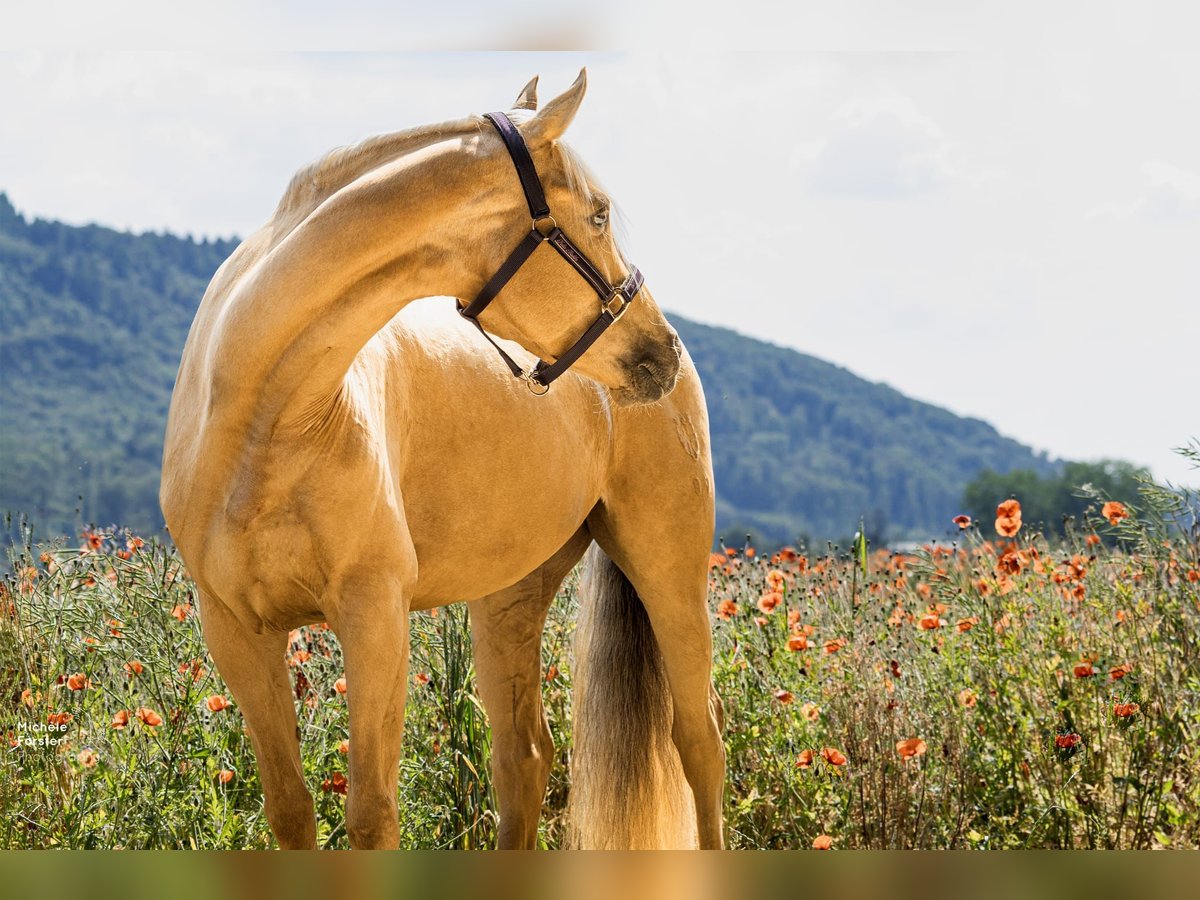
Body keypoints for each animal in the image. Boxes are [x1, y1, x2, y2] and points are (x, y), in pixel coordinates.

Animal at [158, 70, 720, 854]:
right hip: (511, 595)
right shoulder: (237, 634)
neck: (269, 420)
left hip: (668, 566)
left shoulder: (375, 619)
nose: (658, 351)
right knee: (524, 758)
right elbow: (292, 810)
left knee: (698, 742)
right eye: (601, 214)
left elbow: (371, 816)